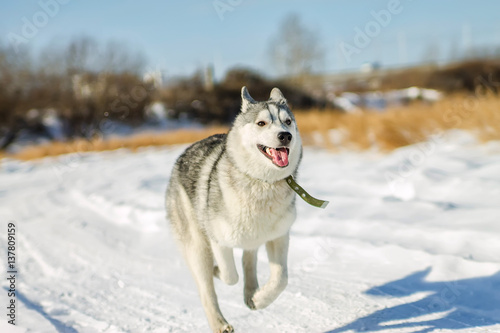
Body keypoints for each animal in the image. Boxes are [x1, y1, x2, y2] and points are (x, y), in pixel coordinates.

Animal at [166, 86, 302, 332]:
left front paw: (259, 299)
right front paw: (218, 272)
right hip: (197, 248)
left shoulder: (279, 236)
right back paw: (219, 323)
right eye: (261, 123)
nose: (285, 136)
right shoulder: (218, 240)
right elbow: (230, 275)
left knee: (249, 258)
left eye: (287, 122)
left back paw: (251, 292)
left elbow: (281, 279)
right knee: (207, 291)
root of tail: (184, 152)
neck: (262, 183)